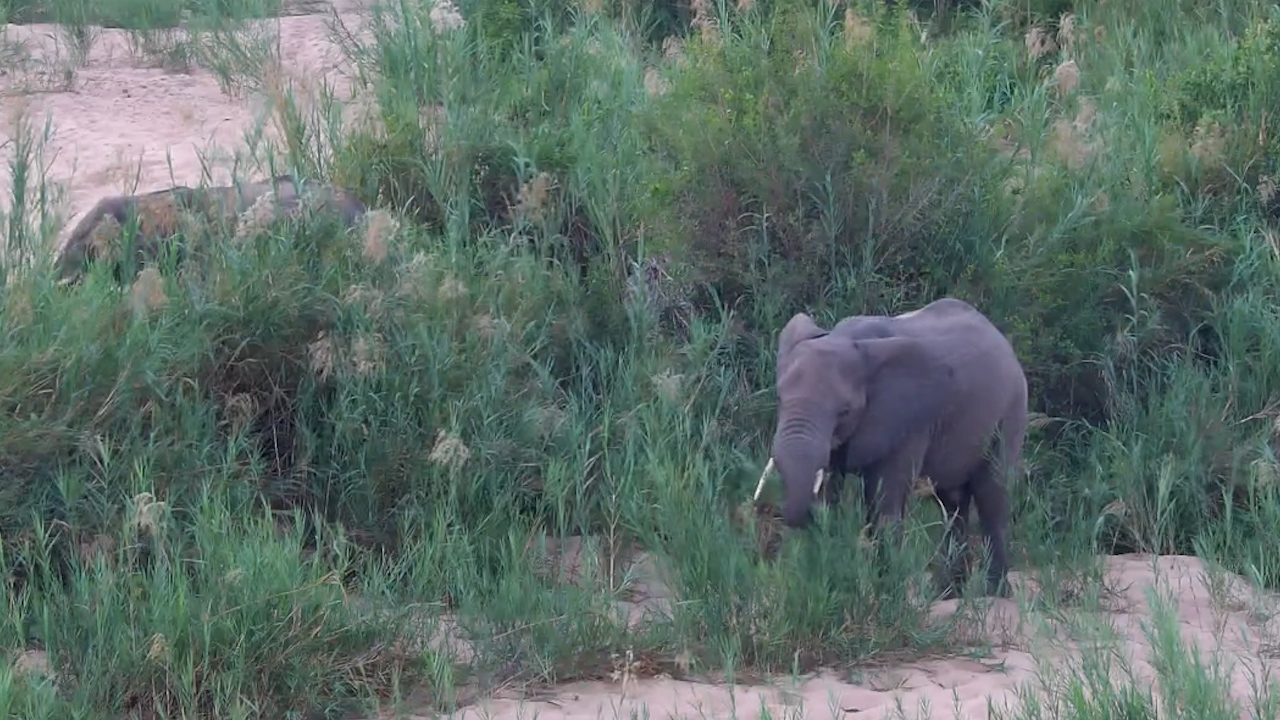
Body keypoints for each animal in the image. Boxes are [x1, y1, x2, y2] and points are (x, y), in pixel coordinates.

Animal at [766, 297, 1028, 599]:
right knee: (952, 501)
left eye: (844, 411)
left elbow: (884, 502)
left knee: (992, 494)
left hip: (1011, 409)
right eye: (779, 398)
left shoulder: (908, 419)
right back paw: (948, 593)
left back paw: (995, 593)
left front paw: (885, 596)